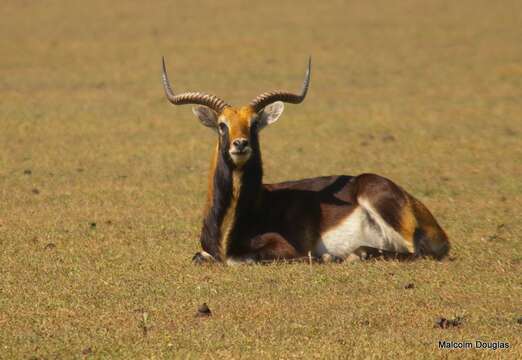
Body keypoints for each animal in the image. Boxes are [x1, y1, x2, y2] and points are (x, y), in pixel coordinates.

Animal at [161, 57, 446, 264]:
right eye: (222, 125)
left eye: (254, 124)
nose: (240, 144)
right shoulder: (205, 252)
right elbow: (201, 257)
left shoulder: (285, 248)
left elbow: (240, 259)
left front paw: (326, 257)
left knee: (419, 251)